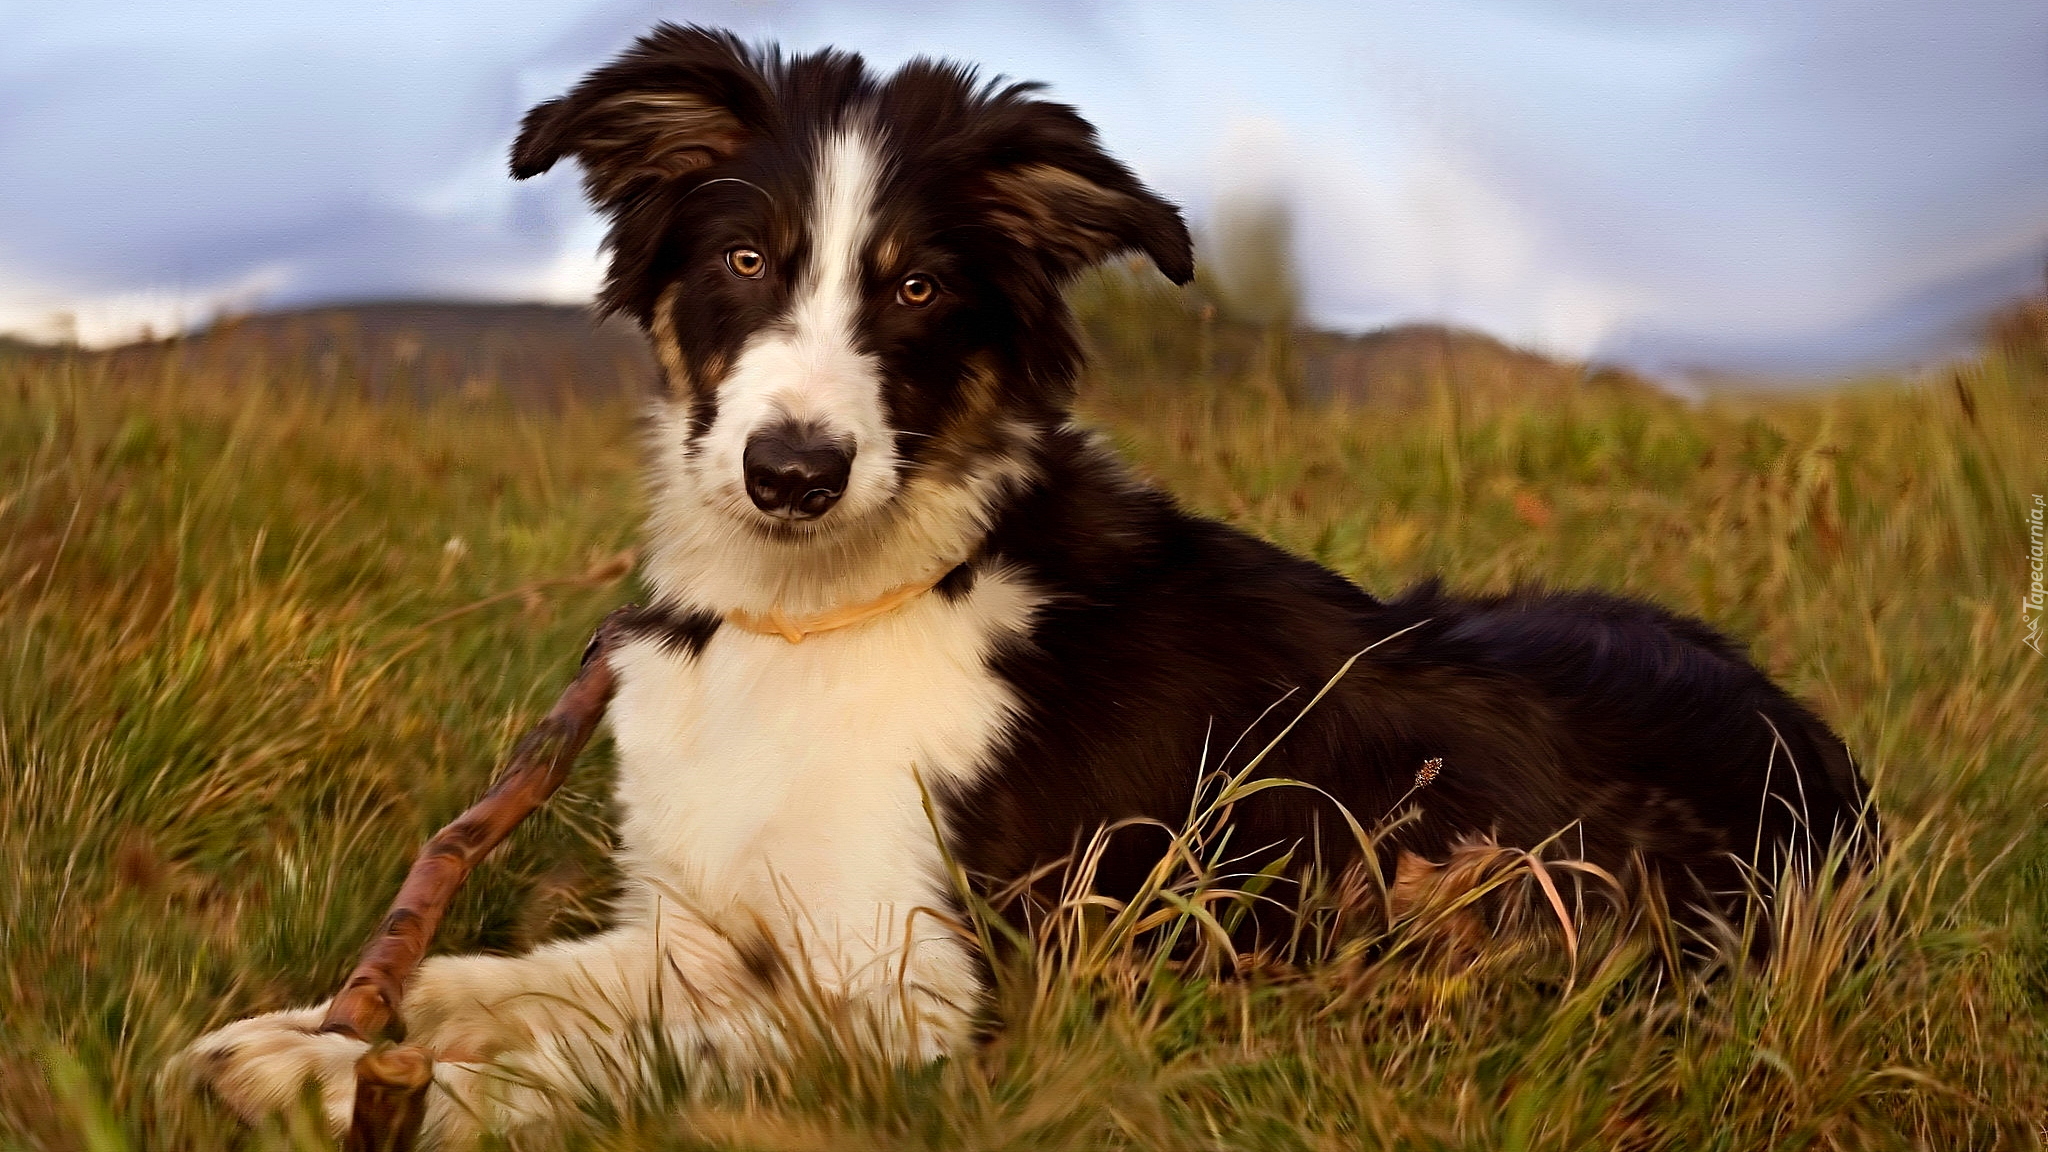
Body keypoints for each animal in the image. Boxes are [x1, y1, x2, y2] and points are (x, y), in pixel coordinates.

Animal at [188, 26, 1875, 1139]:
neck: (822, 612)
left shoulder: (947, 1007)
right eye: (745, 261)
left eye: (920, 288)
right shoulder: (705, 921)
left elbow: (626, 1058)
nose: (793, 472)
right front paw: (296, 1039)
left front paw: (361, 1087)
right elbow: (505, 978)